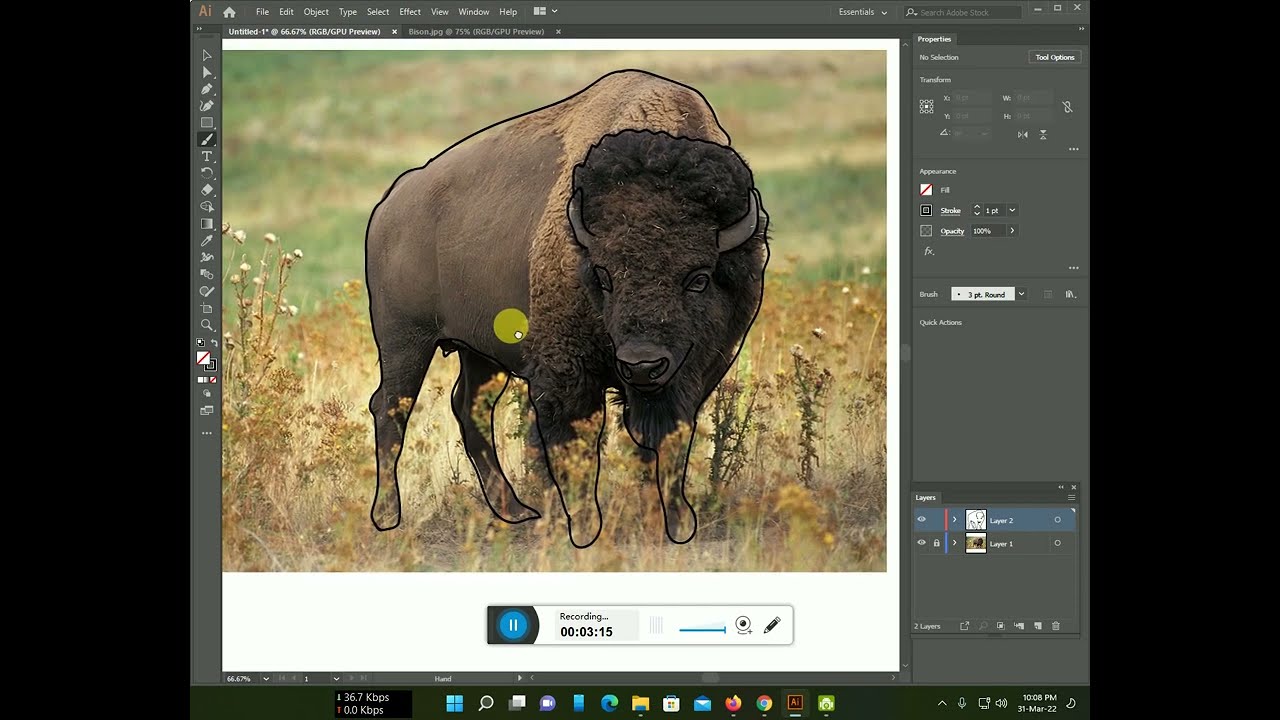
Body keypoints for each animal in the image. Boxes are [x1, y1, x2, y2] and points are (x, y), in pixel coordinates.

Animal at [365, 70, 770, 547]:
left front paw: (671, 523)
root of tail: (390, 203)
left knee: (468, 407)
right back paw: (387, 516)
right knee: (391, 407)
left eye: (699, 277)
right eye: (604, 274)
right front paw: (585, 530)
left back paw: (515, 511)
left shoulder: (696, 371)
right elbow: (574, 445)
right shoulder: (568, 373)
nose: (643, 364)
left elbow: (666, 442)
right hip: (405, 340)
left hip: (479, 353)